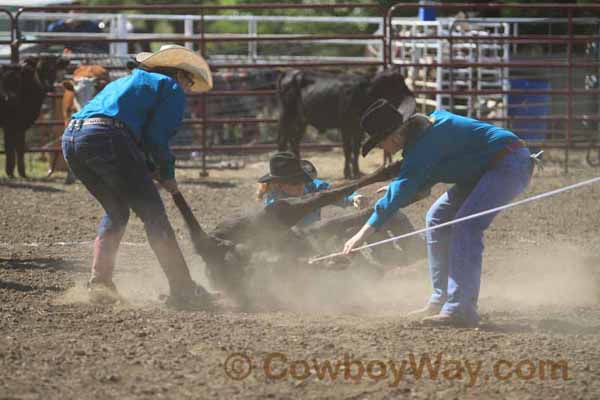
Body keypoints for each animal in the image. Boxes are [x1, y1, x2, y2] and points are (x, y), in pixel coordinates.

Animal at [276, 67, 412, 180]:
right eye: (395, 84)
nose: (410, 93)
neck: (364, 92)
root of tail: (288, 73)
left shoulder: (358, 128)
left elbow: (356, 149)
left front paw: (357, 172)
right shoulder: (345, 126)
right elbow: (347, 149)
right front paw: (348, 173)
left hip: (302, 120)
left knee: (294, 142)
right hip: (287, 116)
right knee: (282, 141)